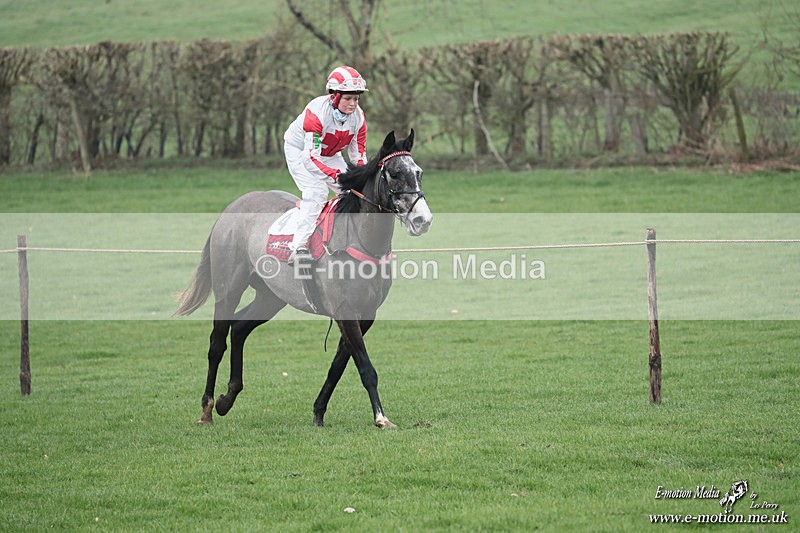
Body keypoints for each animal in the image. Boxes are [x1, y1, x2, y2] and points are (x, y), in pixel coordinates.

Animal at [174, 130, 432, 429]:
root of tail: (229, 209)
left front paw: (318, 412)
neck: (360, 239)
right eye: (394, 173)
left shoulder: (365, 314)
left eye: (418, 172)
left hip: (271, 297)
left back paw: (228, 398)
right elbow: (366, 367)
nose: (423, 219)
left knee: (238, 328)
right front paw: (381, 417)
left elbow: (338, 366)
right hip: (229, 289)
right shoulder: (346, 311)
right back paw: (207, 409)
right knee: (217, 343)